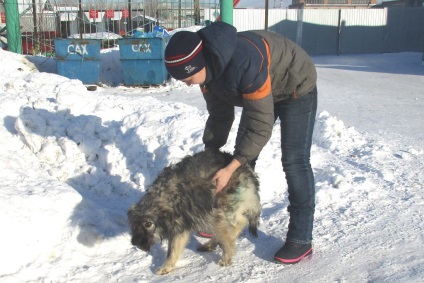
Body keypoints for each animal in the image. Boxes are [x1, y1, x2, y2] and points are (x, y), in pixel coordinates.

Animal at [126, 150, 260, 276]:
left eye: (148, 224)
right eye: (134, 224)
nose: (135, 242)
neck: (170, 196)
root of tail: (247, 170)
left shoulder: (208, 216)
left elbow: (226, 238)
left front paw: (227, 258)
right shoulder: (180, 226)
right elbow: (173, 250)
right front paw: (167, 267)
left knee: (239, 223)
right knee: (239, 222)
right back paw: (211, 244)